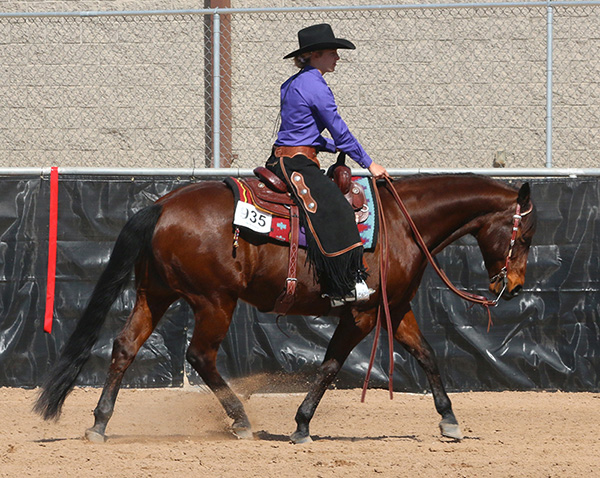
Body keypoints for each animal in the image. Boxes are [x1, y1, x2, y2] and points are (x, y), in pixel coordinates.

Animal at [35, 173, 536, 444]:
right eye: (527, 236)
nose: (513, 288)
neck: (402, 223)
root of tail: (160, 204)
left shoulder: (394, 306)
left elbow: (428, 355)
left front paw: (450, 421)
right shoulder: (361, 313)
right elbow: (331, 366)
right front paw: (301, 424)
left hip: (154, 294)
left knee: (125, 346)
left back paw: (100, 423)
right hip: (214, 301)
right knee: (200, 356)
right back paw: (241, 421)